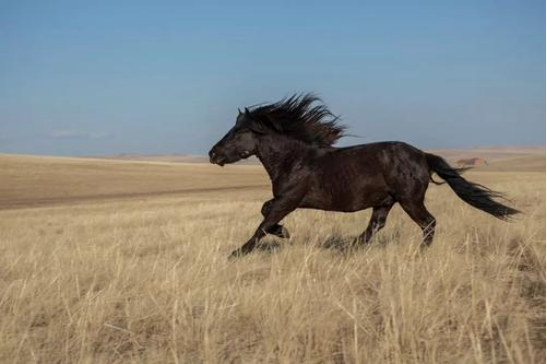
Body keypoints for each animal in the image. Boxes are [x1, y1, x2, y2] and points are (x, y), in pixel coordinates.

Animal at [210, 94, 524, 258]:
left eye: (238, 132)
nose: (213, 154)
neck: (294, 159)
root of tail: (422, 155)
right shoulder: (285, 199)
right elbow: (265, 213)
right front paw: (284, 232)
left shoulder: (289, 199)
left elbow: (262, 224)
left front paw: (237, 253)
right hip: (385, 201)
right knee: (376, 226)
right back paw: (351, 248)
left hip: (409, 200)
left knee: (428, 223)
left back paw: (418, 253)